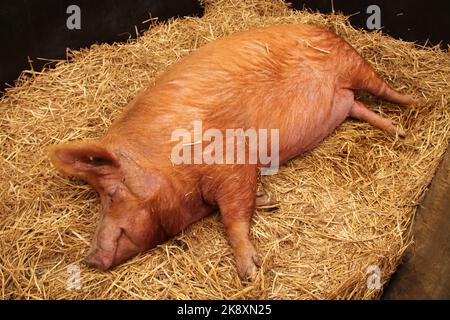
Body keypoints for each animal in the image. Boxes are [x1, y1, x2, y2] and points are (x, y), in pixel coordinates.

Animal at [48, 23, 414, 278]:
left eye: (110, 195)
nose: (91, 258)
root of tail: (322, 27)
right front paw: (268, 201)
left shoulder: (233, 163)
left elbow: (233, 217)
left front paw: (250, 271)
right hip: (345, 100)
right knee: (359, 107)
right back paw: (400, 132)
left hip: (354, 63)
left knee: (382, 89)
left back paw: (417, 104)